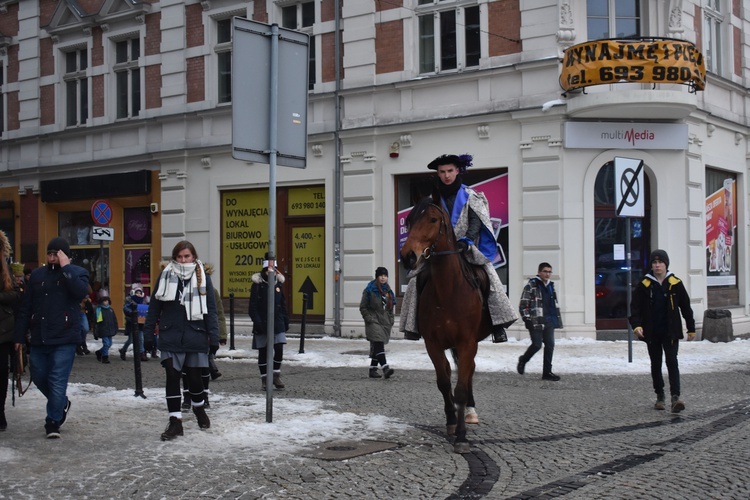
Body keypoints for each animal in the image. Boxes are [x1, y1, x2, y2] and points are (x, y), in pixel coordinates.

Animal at [400, 193, 494, 452]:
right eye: (409, 220)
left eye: (433, 219)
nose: (407, 256)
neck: (448, 291)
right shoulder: (433, 343)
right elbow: (443, 382)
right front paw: (451, 421)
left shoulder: (467, 342)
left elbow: (460, 388)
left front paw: (461, 436)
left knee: (468, 371)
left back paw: (470, 413)